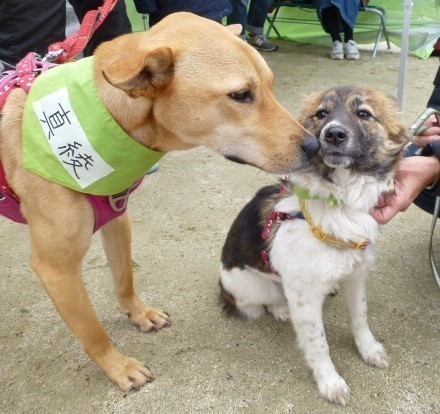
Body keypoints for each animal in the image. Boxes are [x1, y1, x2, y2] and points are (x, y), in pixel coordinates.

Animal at [0, 12, 318, 392]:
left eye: (271, 86)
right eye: (240, 95)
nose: (315, 146)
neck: (107, 117)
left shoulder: (117, 221)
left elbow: (124, 279)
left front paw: (139, 315)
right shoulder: (56, 269)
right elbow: (93, 331)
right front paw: (119, 367)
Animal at [220, 85, 410, 406]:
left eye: (364, 113)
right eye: (322, 113)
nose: (334, 134)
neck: (339, 204)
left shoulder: (356, 277)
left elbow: (360, 318)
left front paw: (369, 350)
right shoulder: (304, 297)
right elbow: (318, 343)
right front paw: (329, 382)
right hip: (253, 286)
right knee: (260, 302)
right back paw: (280, 309)